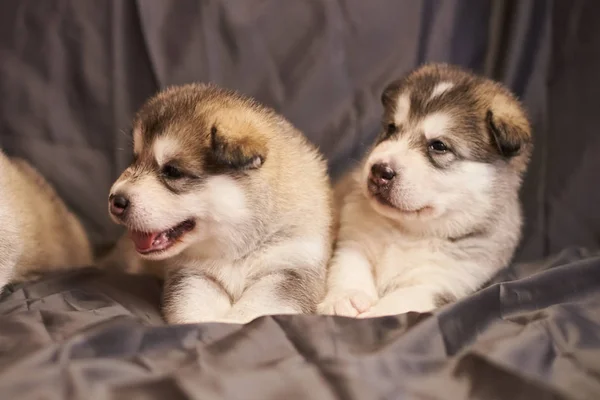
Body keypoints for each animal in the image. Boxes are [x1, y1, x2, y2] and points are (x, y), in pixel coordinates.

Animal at [318, 62, 536, 318]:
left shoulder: (443, 280)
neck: (408, 231)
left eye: (438, 146)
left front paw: (373, 313)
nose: (379, 170)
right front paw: (346, 298)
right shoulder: (352, 238)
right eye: (391, 129)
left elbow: (402, 300)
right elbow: (349, 265)